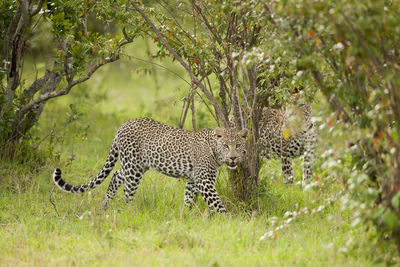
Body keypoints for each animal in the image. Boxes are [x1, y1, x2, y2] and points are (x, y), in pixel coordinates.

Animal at [53, 118, 247, 215]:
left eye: (238, 145)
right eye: (226, 146)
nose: (233, 158)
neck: (214, 149)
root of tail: (122, 126)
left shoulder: (193, 179)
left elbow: (188, 198)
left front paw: (185, 215)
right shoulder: (204, 180)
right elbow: (216, 202)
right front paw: (227, 220)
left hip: (137, 165)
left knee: (116, 175)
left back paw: (106, 204)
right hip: (133, 167)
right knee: (127, 190)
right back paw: (129, 211)